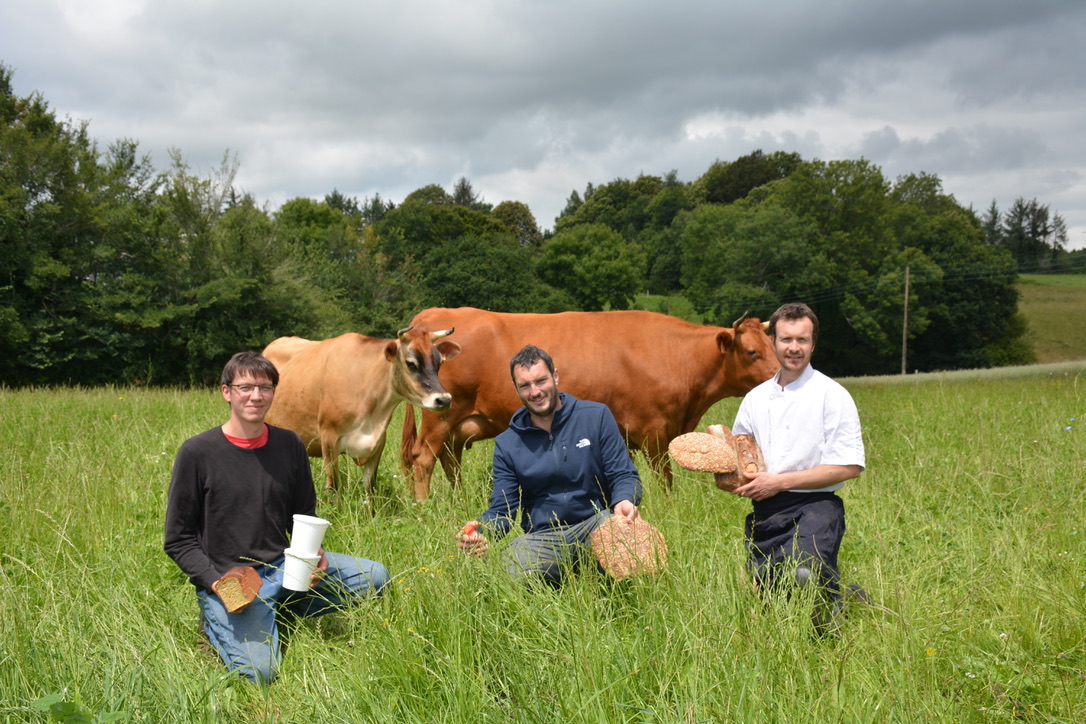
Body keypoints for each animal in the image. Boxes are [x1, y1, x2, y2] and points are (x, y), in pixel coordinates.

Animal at [267, 327, 462, 492]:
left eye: (439, 363)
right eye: (411, 363)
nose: (444, 399)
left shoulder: (378, 442)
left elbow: (370, 488)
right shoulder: (329, 439)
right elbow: (334, 486)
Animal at [403, 306, 777, 499]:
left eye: (772, 345)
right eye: (751, 352)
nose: (780, 375)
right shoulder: (655, 432)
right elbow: (664, 480)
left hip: (458, 423)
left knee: (448, 460)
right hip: (440, 414)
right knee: (423, 459)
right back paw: (424, 508)